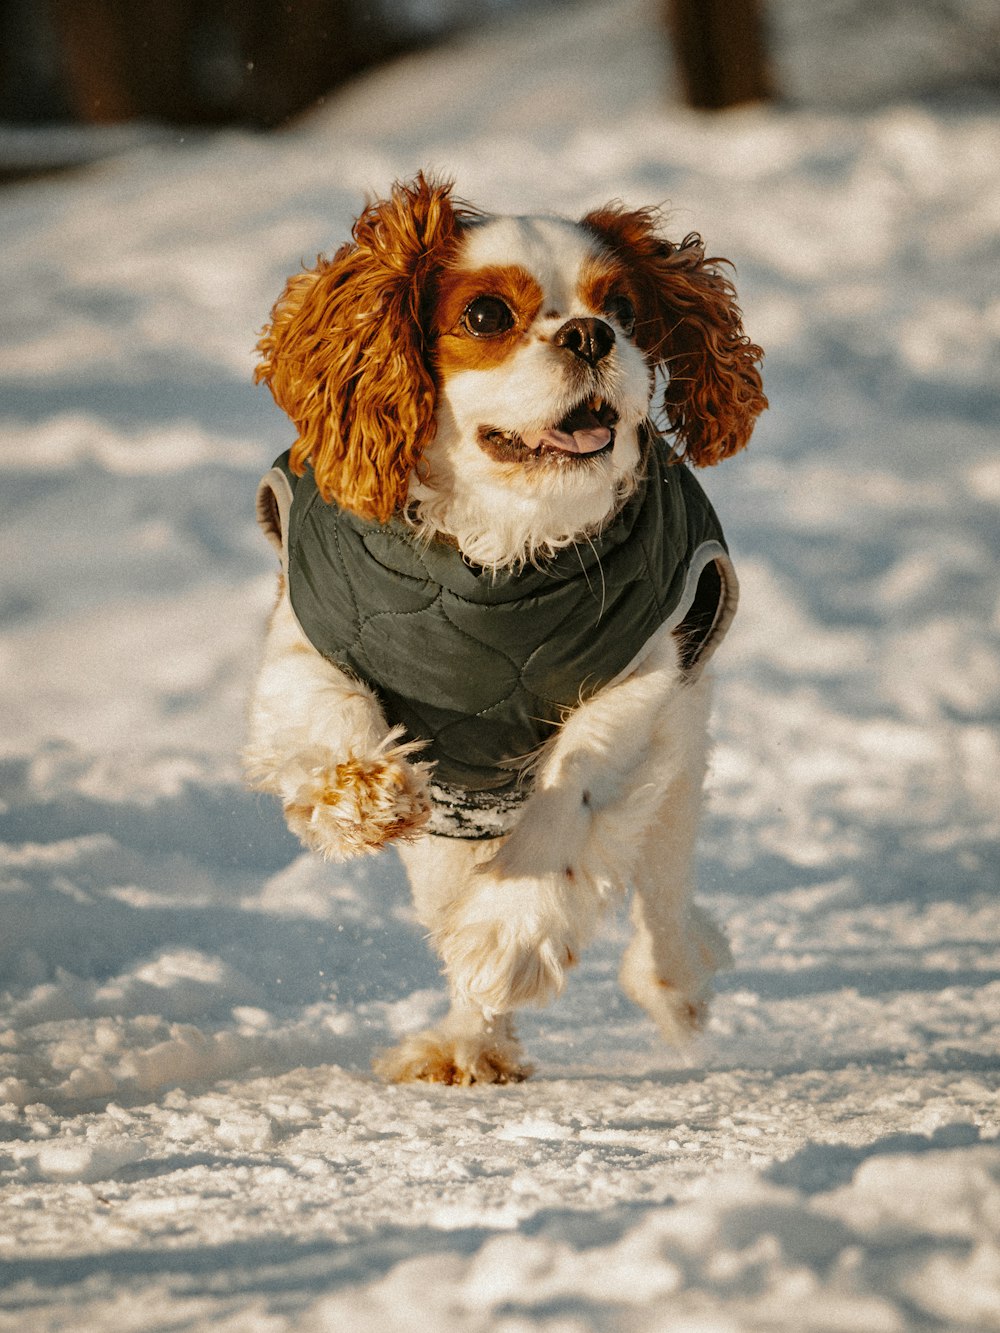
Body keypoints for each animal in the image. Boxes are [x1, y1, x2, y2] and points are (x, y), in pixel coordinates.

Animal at [249, 174, 768, 1082]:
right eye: (488, 314)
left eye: (624, 307)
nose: (593, 335)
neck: (499, 555)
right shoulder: (308, 624)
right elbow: (322, 706)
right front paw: (360, 793)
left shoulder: (642, 677)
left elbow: (578, 780)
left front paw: (514, 929)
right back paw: (470, 1040)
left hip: (680, 753)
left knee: (664, 893)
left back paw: (673, 982)